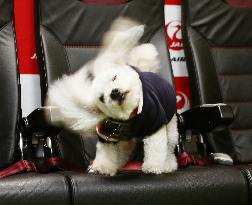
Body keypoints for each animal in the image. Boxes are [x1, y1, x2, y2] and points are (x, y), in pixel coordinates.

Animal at [45, 17, 179, 175]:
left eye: (114, 77)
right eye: (102, 97)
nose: (114, 92)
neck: (131, 115)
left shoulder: (154, 125)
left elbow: (155, 149)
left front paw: (153, 167)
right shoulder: (107, 136)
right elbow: (106, 153)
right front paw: (103, 167)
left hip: (171, 128)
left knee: (169, 149)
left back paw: (168, 164)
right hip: (125, 140)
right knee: (124, 151)